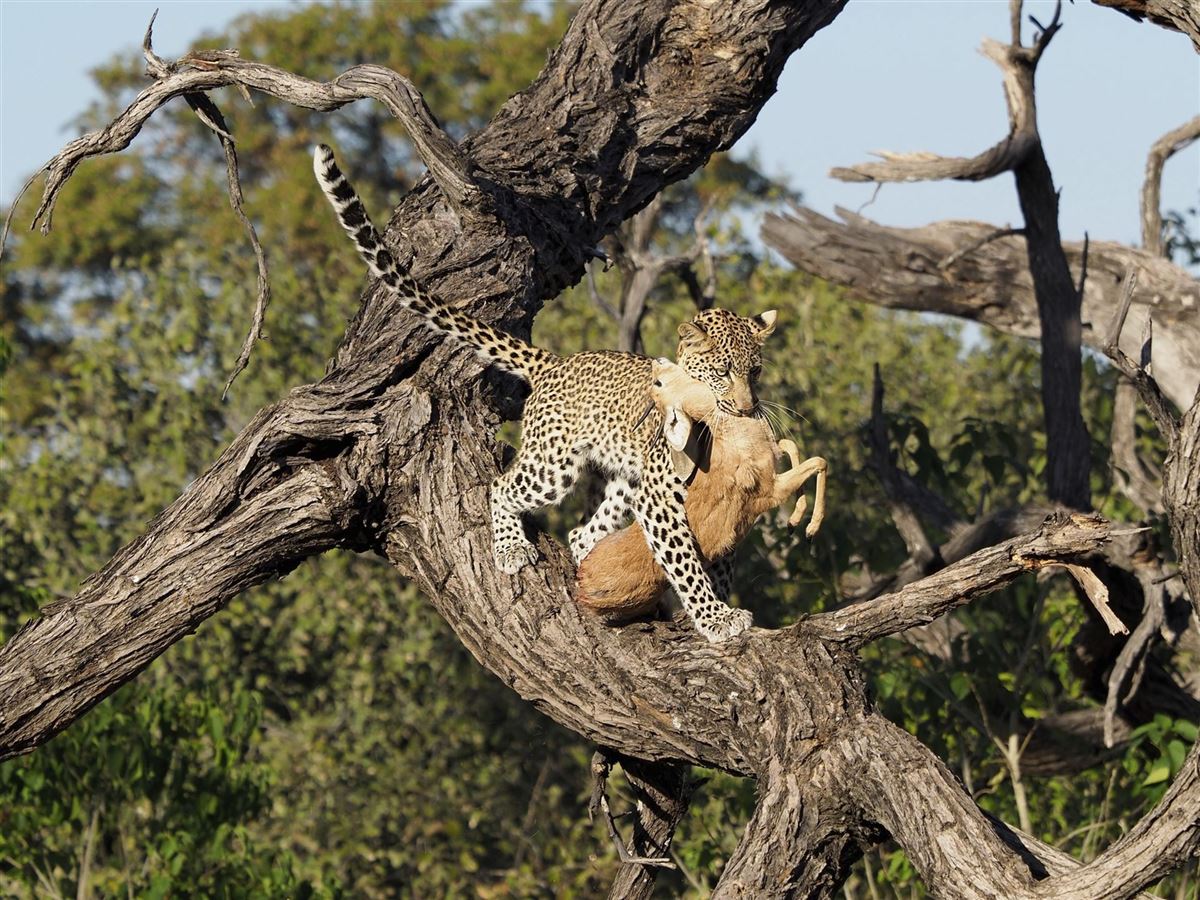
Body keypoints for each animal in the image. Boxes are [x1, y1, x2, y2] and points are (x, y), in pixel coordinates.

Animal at [314, 143, 776, 642]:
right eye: (722, 371)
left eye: (755, 372)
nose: (748, 408)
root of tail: (557, 363)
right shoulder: (659, 498)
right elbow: (686, 561)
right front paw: (715, 618)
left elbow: (719, 555)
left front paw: (718, 609)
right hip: (555, 463)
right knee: (501, 486)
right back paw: (511, 548)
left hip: (620, 481)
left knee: (580, 534)